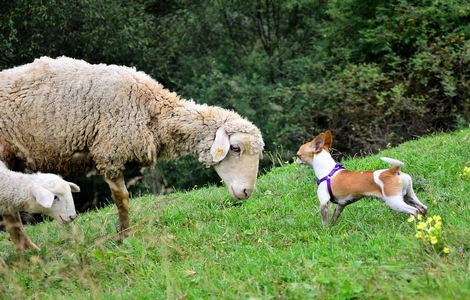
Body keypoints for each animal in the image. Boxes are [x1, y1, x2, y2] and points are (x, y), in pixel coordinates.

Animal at [0, 55, 264, 248]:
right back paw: (28, 250)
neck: (152, 111)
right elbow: (123, 199)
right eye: (236, 148)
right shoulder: (109, 152)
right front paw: (124, 236)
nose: (246, 192)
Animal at [298, 130, 426, 226]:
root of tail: (393, 171)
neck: (328, 170)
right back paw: (424, 223)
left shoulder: (324, 202)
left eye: (298, 155)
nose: (296, 160)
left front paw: (326, 231)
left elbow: (325, 221)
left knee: (414, 211)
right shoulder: (341, 204)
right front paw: (333, 226)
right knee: (423, 208)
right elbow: (335, 215)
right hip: (408, 196)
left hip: (394, 201)